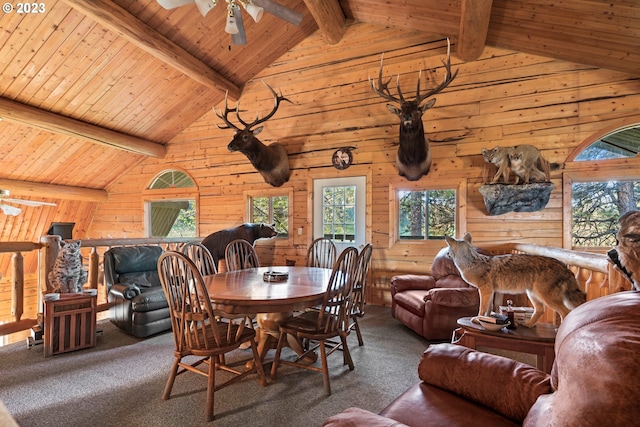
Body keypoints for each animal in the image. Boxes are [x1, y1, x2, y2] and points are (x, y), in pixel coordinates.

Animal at [444, 234, 584, 328]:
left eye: (448, 249)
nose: (446, 254)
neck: (472, 263)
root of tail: (565, 267)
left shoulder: (485, 290)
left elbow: (481, 309)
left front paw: (477, 319)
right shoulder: (491, 292)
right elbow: (488, 310)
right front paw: (485, 320)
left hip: (546, 298)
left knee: (566, 312)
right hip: (533, 294)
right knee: (541, 310)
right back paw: (528, 325)